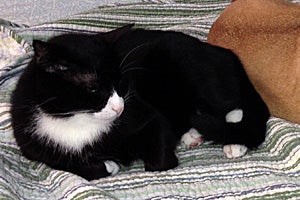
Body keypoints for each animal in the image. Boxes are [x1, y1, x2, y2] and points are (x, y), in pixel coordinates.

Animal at [9, 24, 270, 180]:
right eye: (94, 88)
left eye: (121, 83)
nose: (119, 108)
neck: (76, 120)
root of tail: (225, 53)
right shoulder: (34, 145)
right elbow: (70, 165)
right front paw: (107, 165)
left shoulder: (147, 116)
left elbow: (158, 160)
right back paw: (192, 134)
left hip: (192, 68)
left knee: (238, 108)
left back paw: (234, 141)